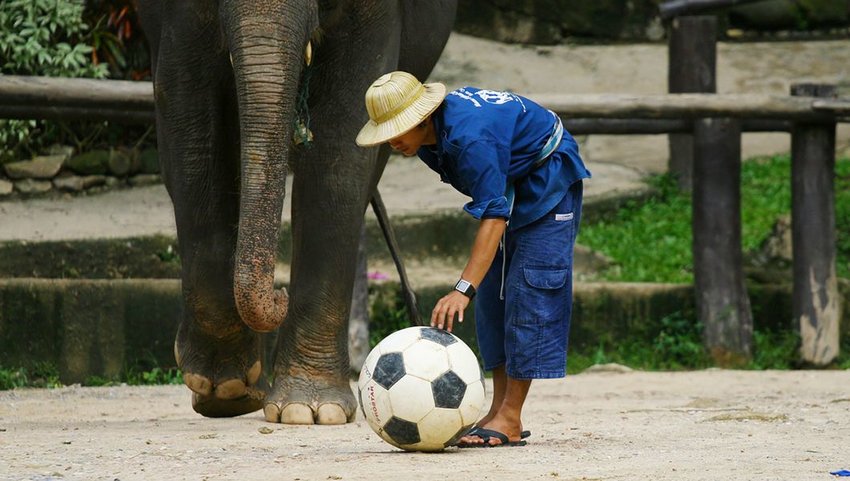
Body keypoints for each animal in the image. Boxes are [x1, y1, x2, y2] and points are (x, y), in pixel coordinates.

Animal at [137, 0, 458, 422]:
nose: (279, 294)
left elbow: (344, 130)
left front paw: (310, 410)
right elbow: (188, 108)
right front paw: (220, 386)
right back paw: (237, 393)